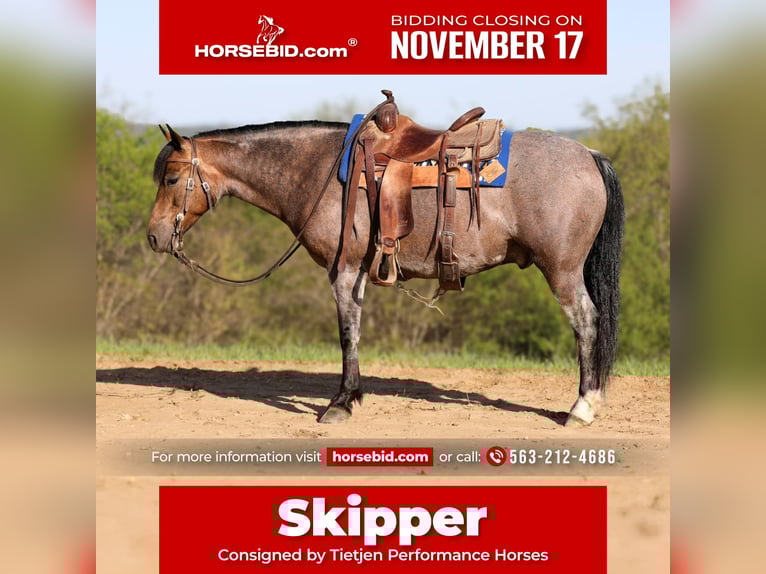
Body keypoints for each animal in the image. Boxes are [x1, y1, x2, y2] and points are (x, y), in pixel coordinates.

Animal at [147, 104, 624, 427]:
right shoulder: (358, 271)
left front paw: (341, 403)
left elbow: (347, 334)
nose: (153, 236)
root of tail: (590, 155)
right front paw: (352, 397)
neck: (318, 171)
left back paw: (582, 407)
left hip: (562, 272)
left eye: (171, 178)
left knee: (586, 322)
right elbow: (355, 331)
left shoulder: (343, 270)